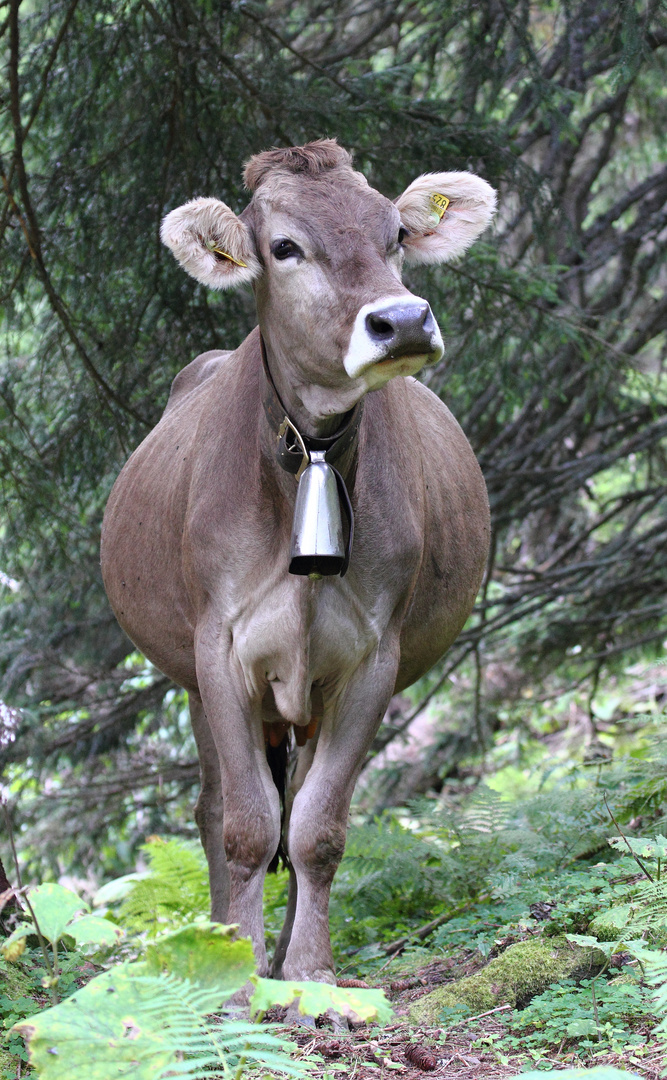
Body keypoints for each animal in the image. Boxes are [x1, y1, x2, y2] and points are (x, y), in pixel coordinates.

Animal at [99, 141, 494, 989]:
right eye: (284, 247)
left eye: (395, 235)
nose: (400, 321)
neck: (306, 457)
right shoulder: (218, 650)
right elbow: (246, 825)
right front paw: (237, 974)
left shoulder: (371, 655)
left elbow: (317, 827)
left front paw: (311, 972)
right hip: (194, 680)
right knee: (214, 808)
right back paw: (230, 940)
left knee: (298, 799)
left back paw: (281, 952)